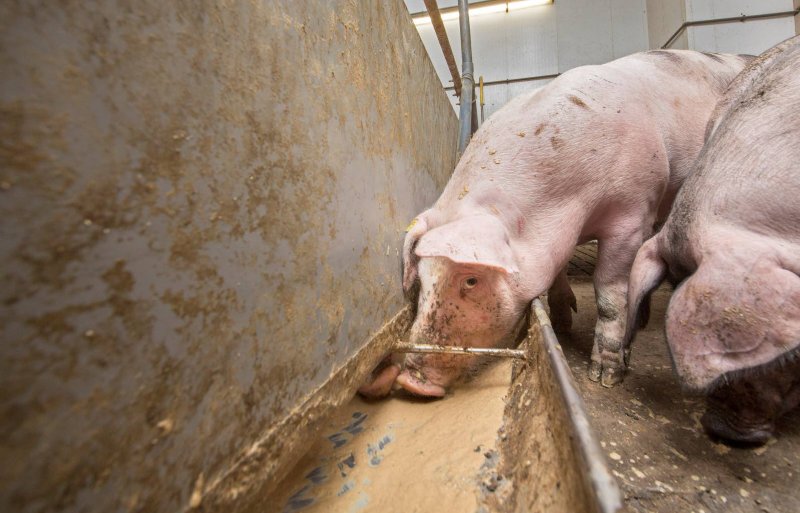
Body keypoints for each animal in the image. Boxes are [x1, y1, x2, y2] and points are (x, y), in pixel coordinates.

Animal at [362, 50, 752, 396]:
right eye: (423, 279)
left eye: (471, 280)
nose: (409, 381)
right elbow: (558, 271)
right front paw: (563, 324)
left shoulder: (632, 214)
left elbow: (610, 295)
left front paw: (605, 376)